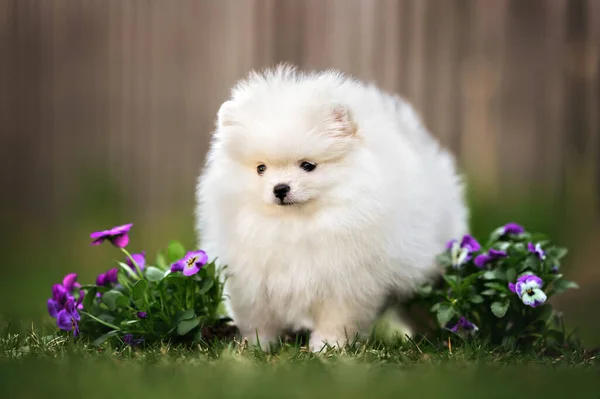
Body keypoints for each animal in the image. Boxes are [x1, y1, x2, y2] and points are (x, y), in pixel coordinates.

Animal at [195, 65, 472, 354]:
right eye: (261, 168)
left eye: (308, 166)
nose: (280, 188)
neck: (294, 224)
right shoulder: (252, 281)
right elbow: (259, 319)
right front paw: (254, 346)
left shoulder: (345, 281)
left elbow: (336, 319)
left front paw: (327, 347)